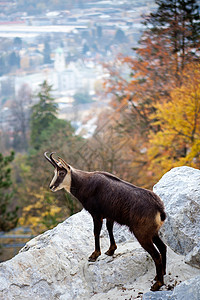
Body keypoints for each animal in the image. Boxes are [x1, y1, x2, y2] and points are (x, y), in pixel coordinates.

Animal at [44, 152, 167, 290]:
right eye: (55, 172)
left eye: (61, 173)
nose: (51, 186)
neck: (84, 184)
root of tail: (159, 208)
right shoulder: (109, 216)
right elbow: (109, 228)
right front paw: (110, 250)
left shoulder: (96, 215)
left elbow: (96, 232)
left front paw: (95, 255)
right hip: (152, 232)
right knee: (163, 247)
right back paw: (161, 274)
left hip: (142, 234)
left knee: (156, 255)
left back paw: (157, 284)